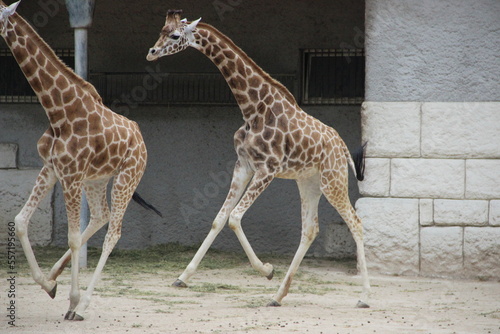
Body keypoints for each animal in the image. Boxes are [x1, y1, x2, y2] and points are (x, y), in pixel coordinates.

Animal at [0, 0, 160, 320]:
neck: (58, 111)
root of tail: (140, 138)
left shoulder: (70, 174)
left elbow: (73, 237)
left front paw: (72, 300)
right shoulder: (51, 167)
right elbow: (21, 220)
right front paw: (49, 286)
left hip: (127, 176)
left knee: (114, 232)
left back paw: (82, 304)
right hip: (97, 179)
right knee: (101, 215)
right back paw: (53, 276)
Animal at [146, 10, 370, 308]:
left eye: (174, 35)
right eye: (160, 30)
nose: (151, 53)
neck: (252, 109)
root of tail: (342, 147)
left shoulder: (267, 169)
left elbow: (234, 218)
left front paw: (267, 269)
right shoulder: (243, 166)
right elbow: (220, 218)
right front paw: (182, 277)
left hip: (332, 181)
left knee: (355, 223)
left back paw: (364, 297)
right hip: (308, 182)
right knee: (310, 229)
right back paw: (278, 296)